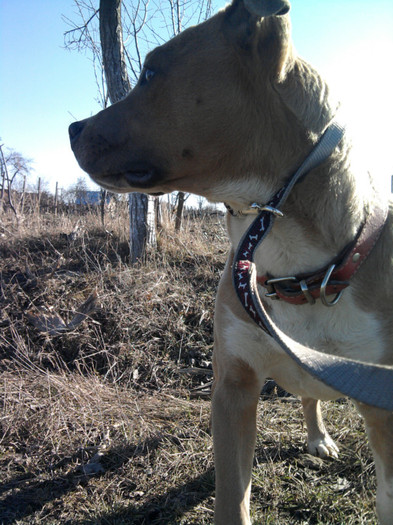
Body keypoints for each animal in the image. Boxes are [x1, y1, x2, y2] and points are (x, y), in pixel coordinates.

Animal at [68, 2, 392, 520]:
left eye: (151, 71)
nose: (73, 128)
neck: (299, 271)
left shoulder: (384, 405)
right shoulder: (233, 389)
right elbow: (232, 496)